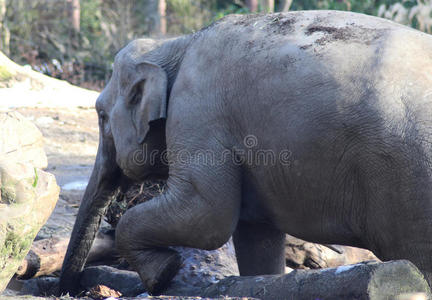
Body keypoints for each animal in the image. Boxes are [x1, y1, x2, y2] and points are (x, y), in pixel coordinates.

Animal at [60, 9, 432, 296]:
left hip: (406, 182)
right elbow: (255, 234)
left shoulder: (197, 114)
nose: (69, 289)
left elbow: (207, 216)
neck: (175, 43)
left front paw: (162, 273)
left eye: (101, 116)